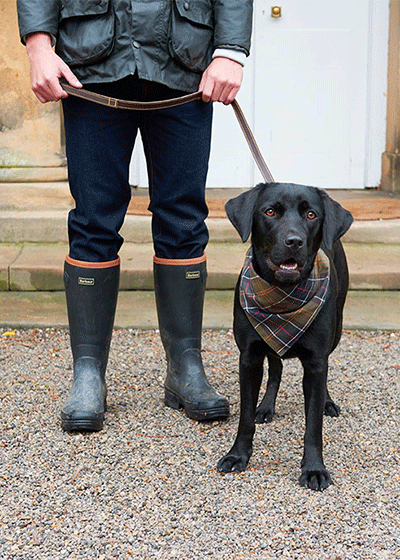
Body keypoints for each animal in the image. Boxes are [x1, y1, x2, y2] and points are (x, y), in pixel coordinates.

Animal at [219, 184, 354, 490]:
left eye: (311, 214)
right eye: (270, 211)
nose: (294, 241)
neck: (282, 293)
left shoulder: (315, 362)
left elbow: (313, 424)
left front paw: (314, 468)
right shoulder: (249, 356)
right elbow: (245, 417)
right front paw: (238, 455)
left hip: (336, 330)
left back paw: (327, 402)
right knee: (277, 367)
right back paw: (266, 406)